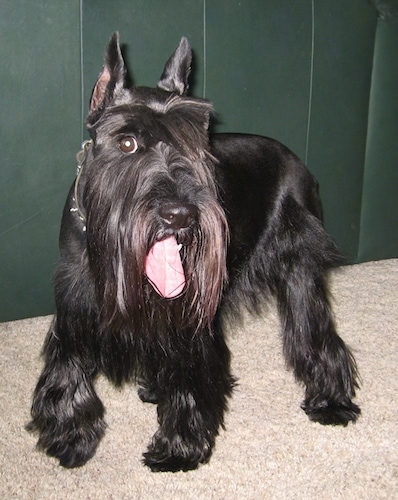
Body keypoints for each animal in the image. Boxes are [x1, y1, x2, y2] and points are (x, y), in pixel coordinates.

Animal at [26, 34, 360, 472]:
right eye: (127, 142)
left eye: (196, 145)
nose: (180, 214)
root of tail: (298, 162)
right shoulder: (75, 303)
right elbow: (68, 364)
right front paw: (70, 437)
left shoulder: (187, 315)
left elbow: (188, 372)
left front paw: (178, 447)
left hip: (300, 273)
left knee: (316, 335)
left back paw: (332, 402)